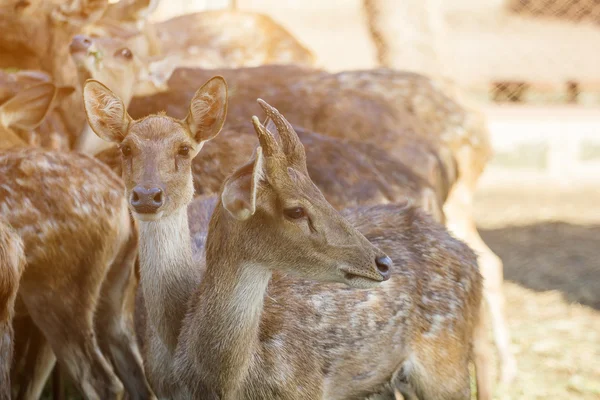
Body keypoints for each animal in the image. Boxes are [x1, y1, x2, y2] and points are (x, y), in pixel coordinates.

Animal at [84, 77, 486, 400]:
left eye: (184, 149)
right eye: (295, 210)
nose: (383, 262)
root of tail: (466, 254)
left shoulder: (306, 390)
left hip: (446, 366)